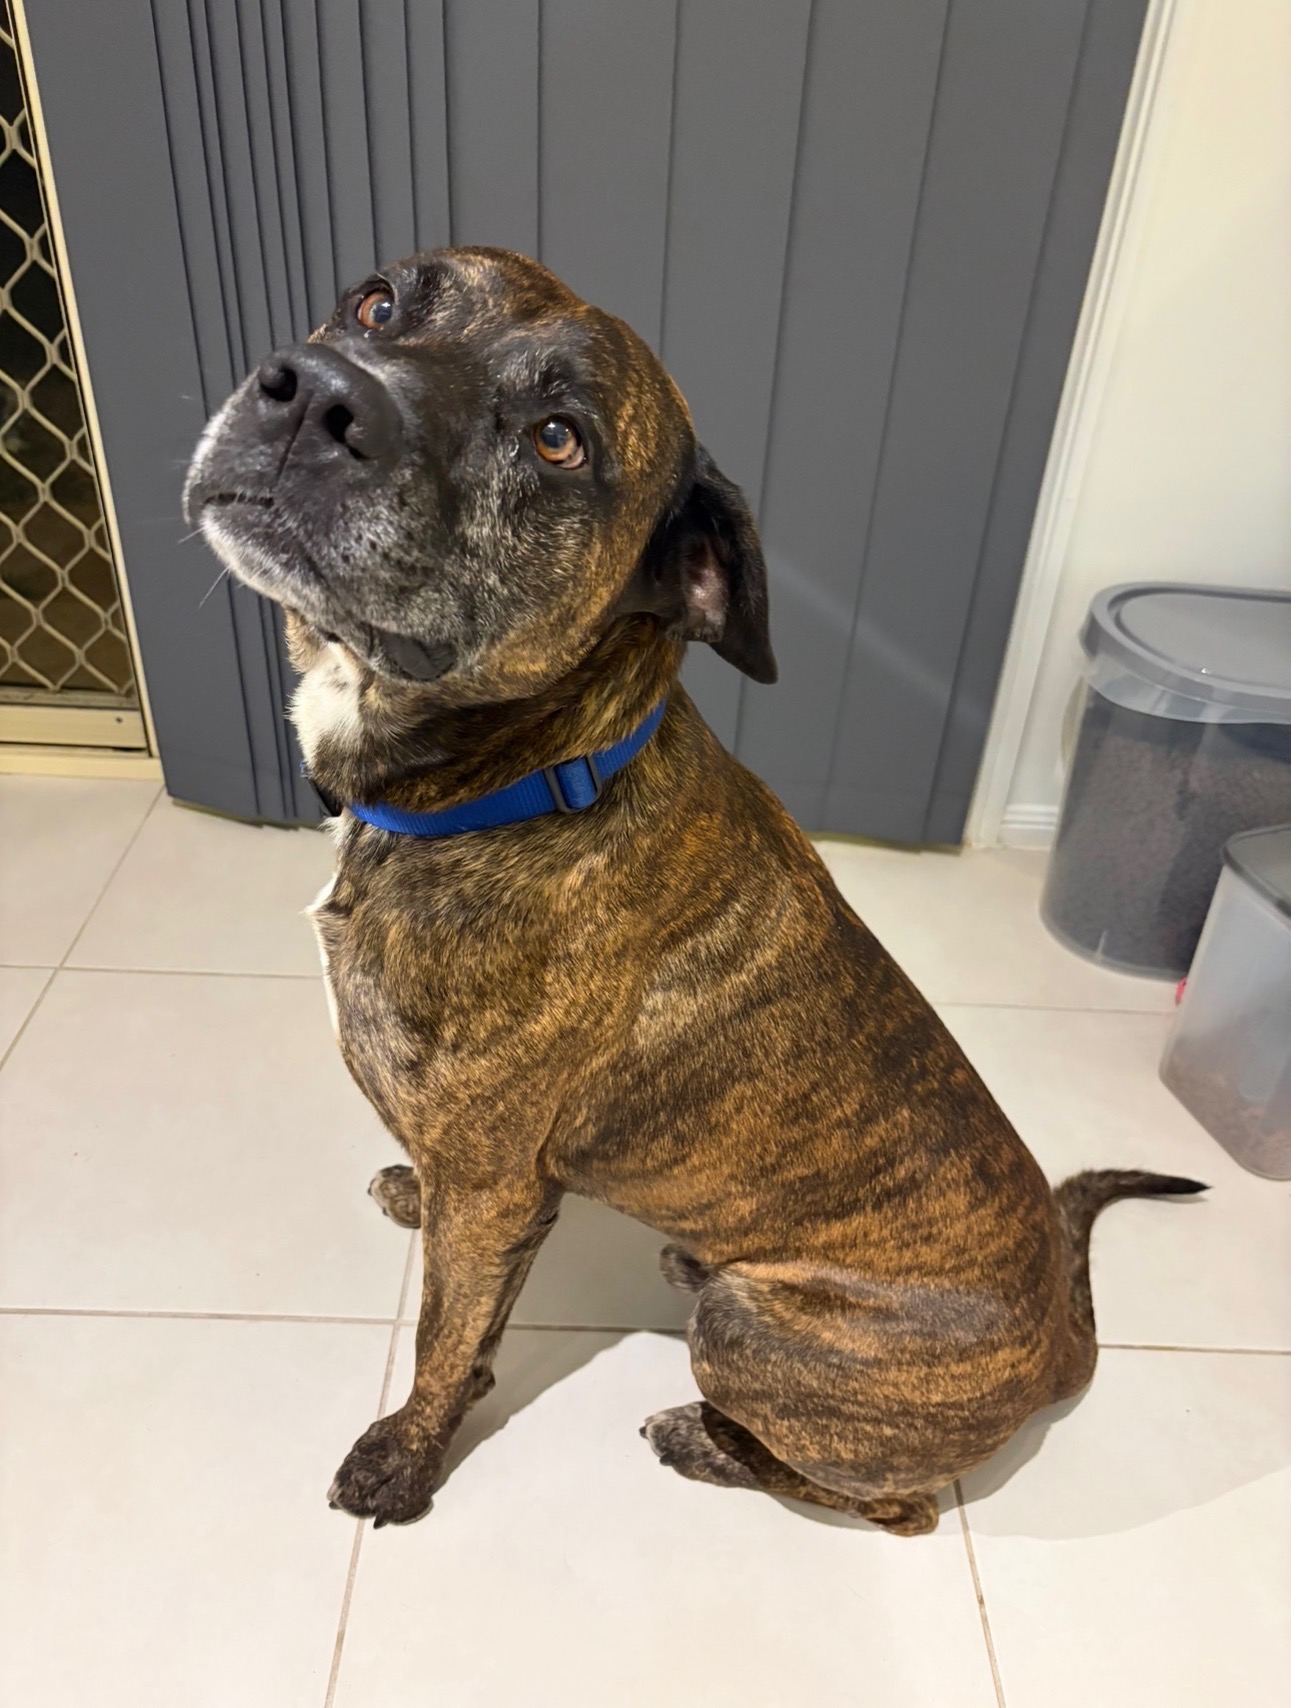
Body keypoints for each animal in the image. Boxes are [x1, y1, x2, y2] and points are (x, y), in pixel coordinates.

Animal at [186, 246, 1204, 1535]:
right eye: (377, 303)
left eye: (558, 439)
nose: (313, 392)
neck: (531, 775)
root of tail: (1066, 1346)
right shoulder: (485, 1178)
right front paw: (411, 1195)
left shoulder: (493, 1179)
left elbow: (444, 1340)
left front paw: (403, 1457)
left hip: (755, 1333)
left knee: (895, 1507)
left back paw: (704, 1435)